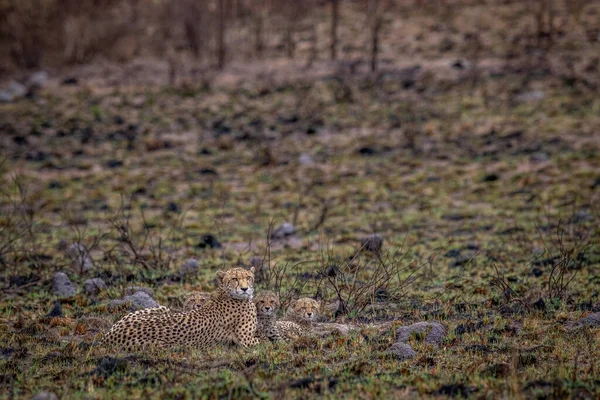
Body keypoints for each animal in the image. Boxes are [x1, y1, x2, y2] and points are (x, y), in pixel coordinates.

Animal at [101, 268, 260, 350]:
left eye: (248, 277)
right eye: (234, 279)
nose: (244, 289)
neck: (226, 293)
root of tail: (108, 337)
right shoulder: (246, 340)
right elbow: (264, 340)